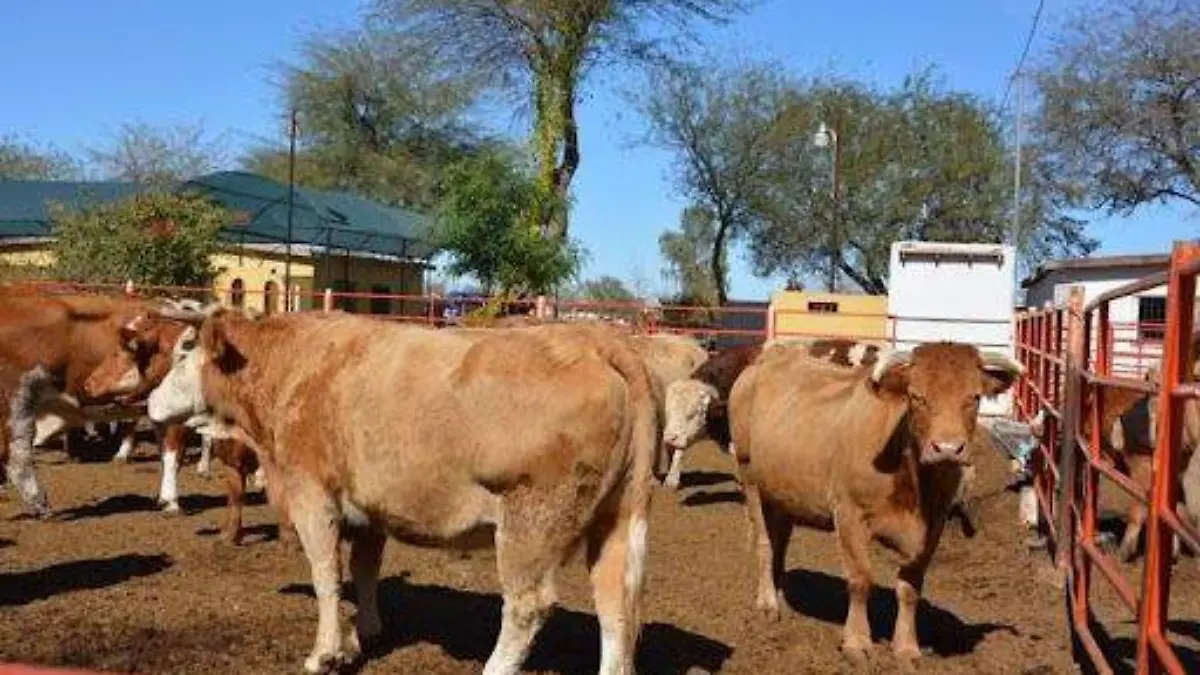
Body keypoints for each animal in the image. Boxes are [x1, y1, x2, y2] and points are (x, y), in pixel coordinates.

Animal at [147, 309, 667, 672]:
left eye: (184, 351)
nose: (149, 402)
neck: (295, 366)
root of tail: (596, 341)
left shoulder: (312, 494)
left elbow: (325, 575)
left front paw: (325, 653)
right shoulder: (370, 508)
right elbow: (364, 570)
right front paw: (365, 635)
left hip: (531, 523)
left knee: (528, 606)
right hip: (616, 520)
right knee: (615, 606)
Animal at [729, 341, 1022, 662]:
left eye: (974, 397)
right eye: (916, 396)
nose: (947, 448)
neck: (915, 489)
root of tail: (767, 360)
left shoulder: (934, 526)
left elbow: (910, 587)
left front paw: (906, 647)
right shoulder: (849, 513)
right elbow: (860, 579)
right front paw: (857, 643)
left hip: (783, 494)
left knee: (780, 541)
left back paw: (779, 594)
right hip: (749, 476)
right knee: (765, 544)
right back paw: (768, 602)